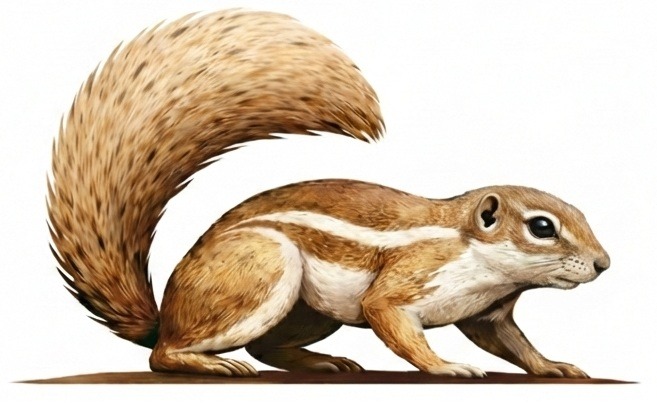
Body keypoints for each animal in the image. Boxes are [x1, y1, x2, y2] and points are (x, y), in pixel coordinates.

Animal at [48, 9, 610, 378]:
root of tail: (164, 313)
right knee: (161, 355)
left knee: (267, 350)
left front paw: (553, 366)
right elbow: (395, 323)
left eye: (583, 216)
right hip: (262, 271)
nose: (604, 264)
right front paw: (446, 365)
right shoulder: (407, 281)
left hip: (307, 313)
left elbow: (514, 344)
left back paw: (323, 361)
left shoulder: (489, 314)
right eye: (542, 227)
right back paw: (210, 363)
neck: (476, 257)